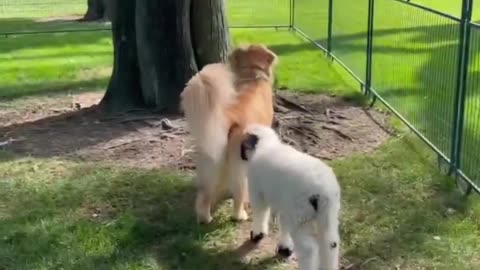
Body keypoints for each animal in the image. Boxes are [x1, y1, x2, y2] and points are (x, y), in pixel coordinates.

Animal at [180, 44, 278, 223]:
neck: (253, 76)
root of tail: (229, 117)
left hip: (209, 164)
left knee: (204, 195)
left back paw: (205, 217)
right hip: (240, 168)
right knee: (238, 195)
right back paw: (240, 215)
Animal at [240, 124, 342, 270]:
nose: (241, 156)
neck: (267, 145)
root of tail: (321, 191)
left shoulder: (257, 191)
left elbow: (260, 213)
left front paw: (257, 234)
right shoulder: (285, 206)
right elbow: (283, 223)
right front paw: (285, 248)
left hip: (300, 216)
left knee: (308, 249)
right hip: (328, 214)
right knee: (331, 244)